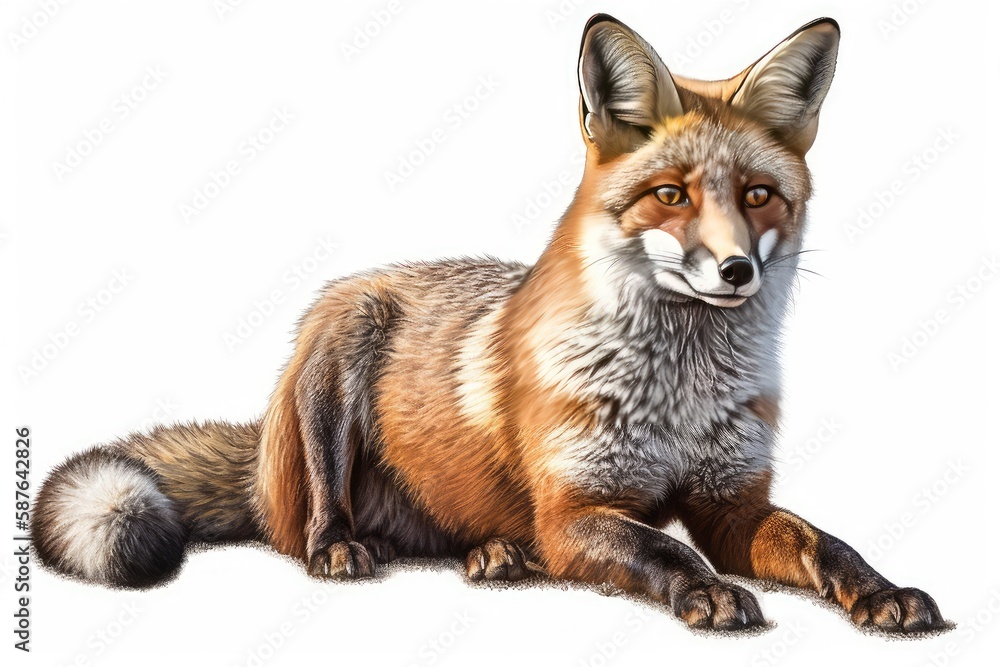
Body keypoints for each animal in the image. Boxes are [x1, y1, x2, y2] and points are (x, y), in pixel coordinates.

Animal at [33, 14, 947, 633]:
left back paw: (497, 554)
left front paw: (881, 590)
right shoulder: (576, 507)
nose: (735, 271)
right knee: (318, 519)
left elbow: (824, 543)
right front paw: (711, 592)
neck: (676, 396)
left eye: (758, 195)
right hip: (339, 351)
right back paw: (347, 547)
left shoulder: (731, 504)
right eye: (672, 194)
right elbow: (668, 551)